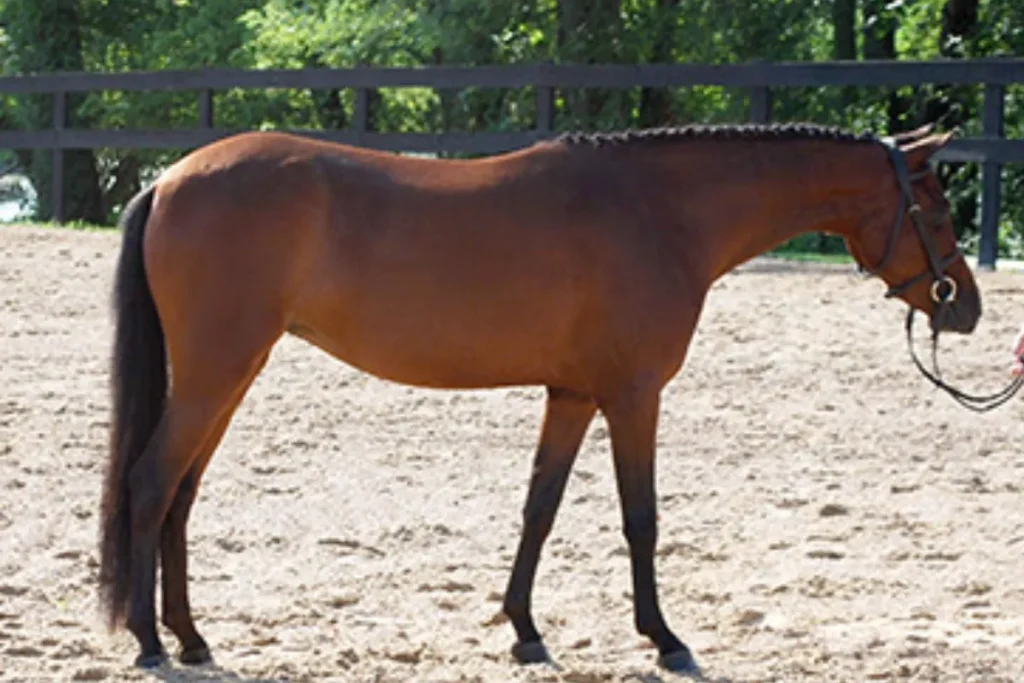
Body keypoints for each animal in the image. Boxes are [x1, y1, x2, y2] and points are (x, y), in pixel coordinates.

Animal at [98, 121, 980, 674]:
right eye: (936, 208)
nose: (964, 306)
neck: (659, 213)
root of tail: (168, 178)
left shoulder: (572, 393)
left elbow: (539, 506)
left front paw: (523, 629)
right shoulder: (632, 394)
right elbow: (640, 517)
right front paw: (663, 637)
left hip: (229, 375)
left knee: (180, 494)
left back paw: (191, 635)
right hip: (216, 370)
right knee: (151, 481)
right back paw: (148, 639)